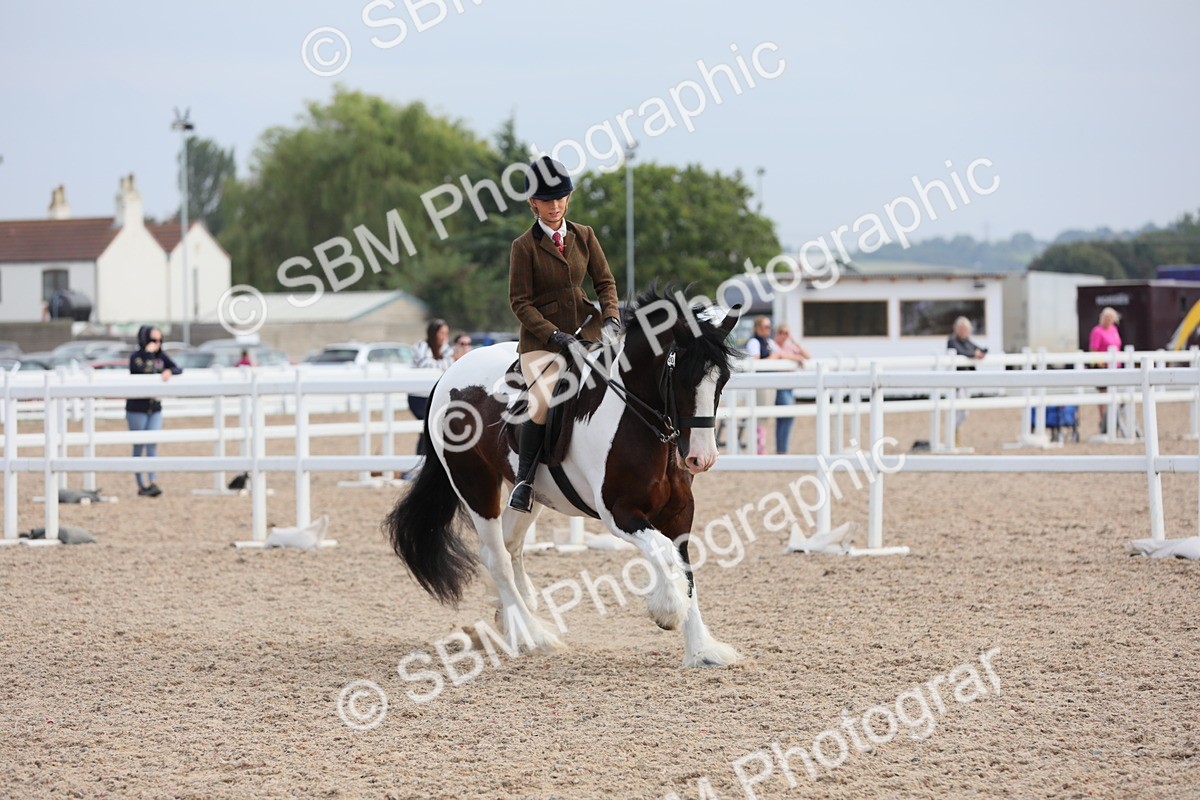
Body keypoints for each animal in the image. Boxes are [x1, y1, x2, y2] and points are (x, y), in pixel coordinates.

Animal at [384, 285, 743, 667]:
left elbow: (685, 568)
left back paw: (512, 614)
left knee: (510, 544)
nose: (702, 458)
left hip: (529, 493)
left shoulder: (679, 513)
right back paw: (532, 633)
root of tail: (449, 375)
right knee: (496, 556)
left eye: (722, 380)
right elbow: (662, 551)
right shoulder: (620, 513)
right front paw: (668, 611)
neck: (632, 415)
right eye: (682, 378)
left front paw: (702, 648)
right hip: (474, 485)